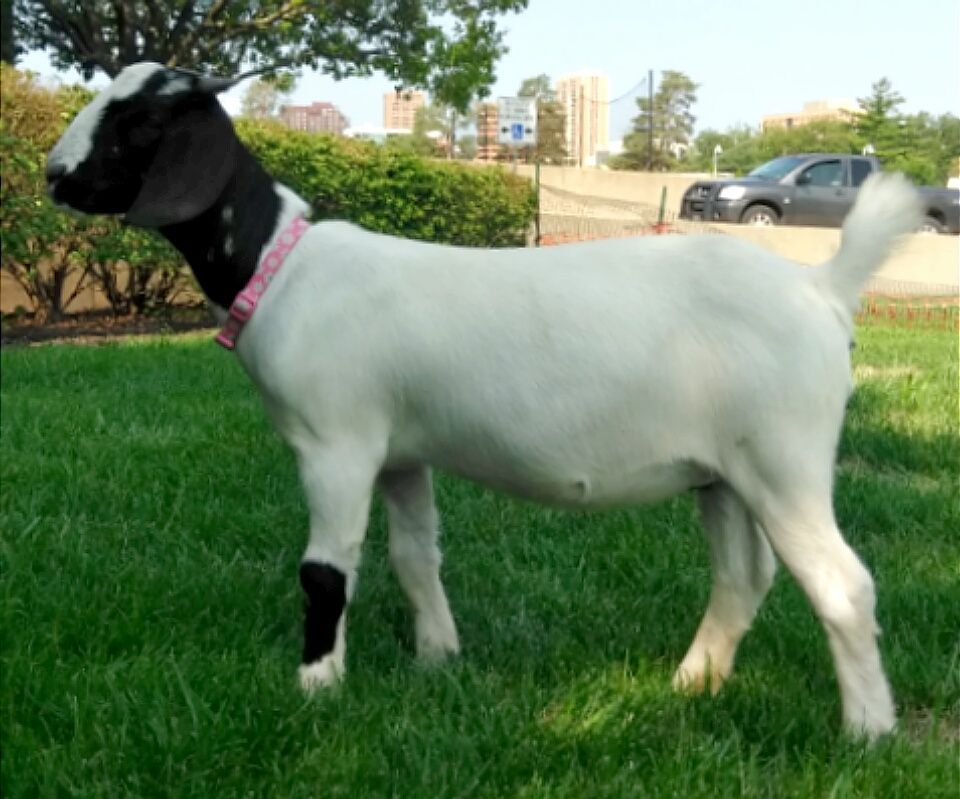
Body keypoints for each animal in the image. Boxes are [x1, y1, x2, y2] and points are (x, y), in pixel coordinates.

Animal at [46, 62, 922, 740]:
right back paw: (691, 684)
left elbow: (325, 572)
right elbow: (414, 556)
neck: (279, 263)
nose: (53, 175)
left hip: (785, 456)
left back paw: (867, 731)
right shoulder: (399, 451)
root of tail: (824, 287)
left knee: (843, 584)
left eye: (141, 121)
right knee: (744, 577)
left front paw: (317, 688)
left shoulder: (336, 442)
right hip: (727, 471)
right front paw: (438, 658)